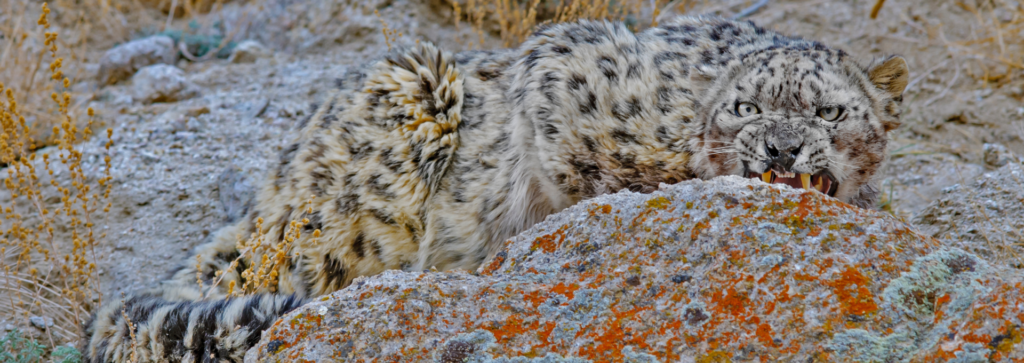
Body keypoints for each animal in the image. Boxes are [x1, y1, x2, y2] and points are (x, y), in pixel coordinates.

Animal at [81, 14, 913, 363]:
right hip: (395, 124)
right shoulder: (565, 67)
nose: (780, 145)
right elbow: (577, 161)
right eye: (747, 107)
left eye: (830, 112)